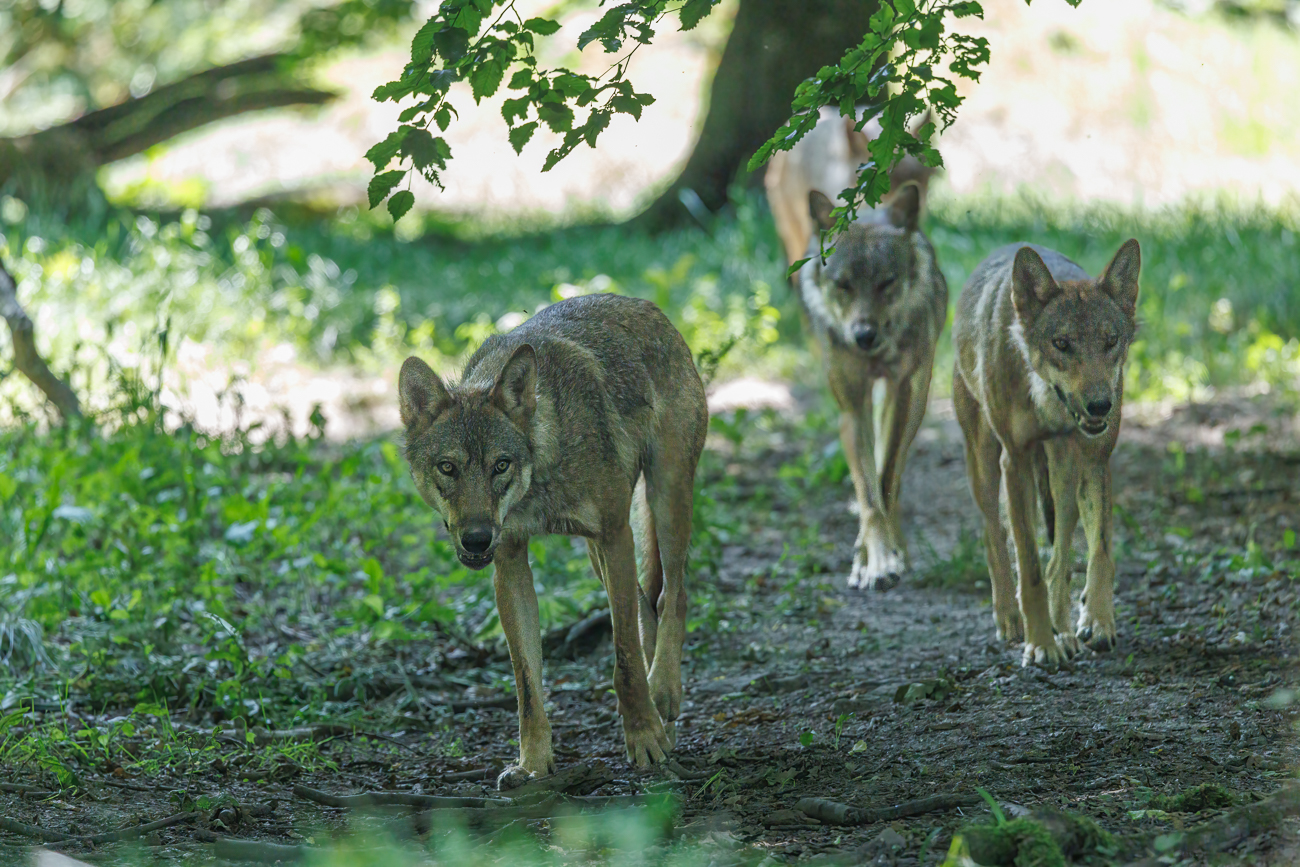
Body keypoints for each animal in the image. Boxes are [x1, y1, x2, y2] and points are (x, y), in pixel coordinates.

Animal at [398, 293, 708, 788]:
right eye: (448, 468)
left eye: (501, 465)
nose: (477, 538)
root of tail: (648, 308)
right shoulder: (510, 563)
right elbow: (527, 683)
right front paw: (533, 763)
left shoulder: (616, 536)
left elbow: (623, 661)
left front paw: (643, 738)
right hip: (598, 557)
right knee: (646, 607)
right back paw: (665, 717)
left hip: (665, 499)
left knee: (673, 597)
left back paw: (664, 691)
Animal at [797, 183, 949, 590]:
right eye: (843, 285)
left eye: (886, 283)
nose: (863, 336)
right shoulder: (852, 409)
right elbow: (867, 494)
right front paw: (872, 561)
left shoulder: (902, 394)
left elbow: (885, 479)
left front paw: (887, 557)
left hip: (916, 400)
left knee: (893, 475)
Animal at [952, 240, 1140, 669]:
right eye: (1062, 343)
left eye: (1111, 341)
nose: (1100, 405)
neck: (1046, 403)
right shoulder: (1016, 462)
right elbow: (1030, 568)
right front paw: (1039, 644)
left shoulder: (1095, 458)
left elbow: (1098, 550)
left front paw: (1097, 621)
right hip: (984, 464)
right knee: (993, 536)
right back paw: (1010, 619)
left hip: (1063, 475)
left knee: (1061, 555)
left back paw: (1066, 631)